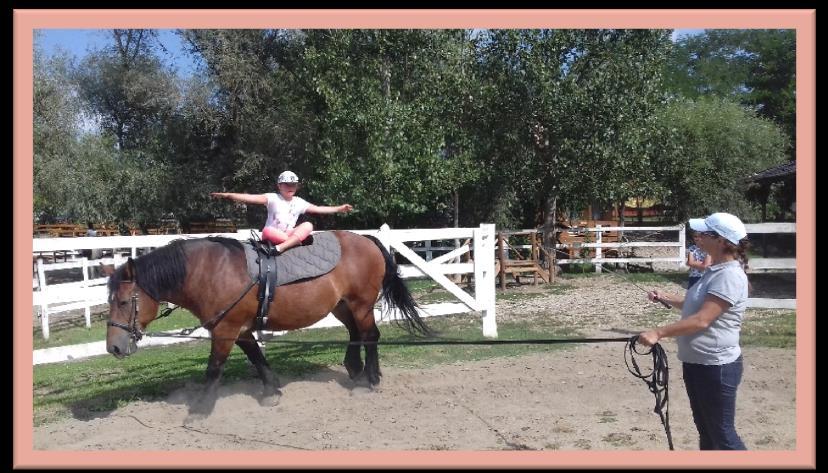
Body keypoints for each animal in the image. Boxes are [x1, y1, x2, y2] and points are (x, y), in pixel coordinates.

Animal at [103, 230, 430, 414]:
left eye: (123, 302)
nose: (114, 348)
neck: (210, 272)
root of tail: (367, 240)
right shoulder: (240, 329)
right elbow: (257, 358)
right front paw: (272, 391)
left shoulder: (225, 330)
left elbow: (214, 369)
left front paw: (201, 409)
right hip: (342, 306)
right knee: (355, 333)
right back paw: (356, 369)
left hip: (361, 304)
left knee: (370, 335)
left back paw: (369, 380)